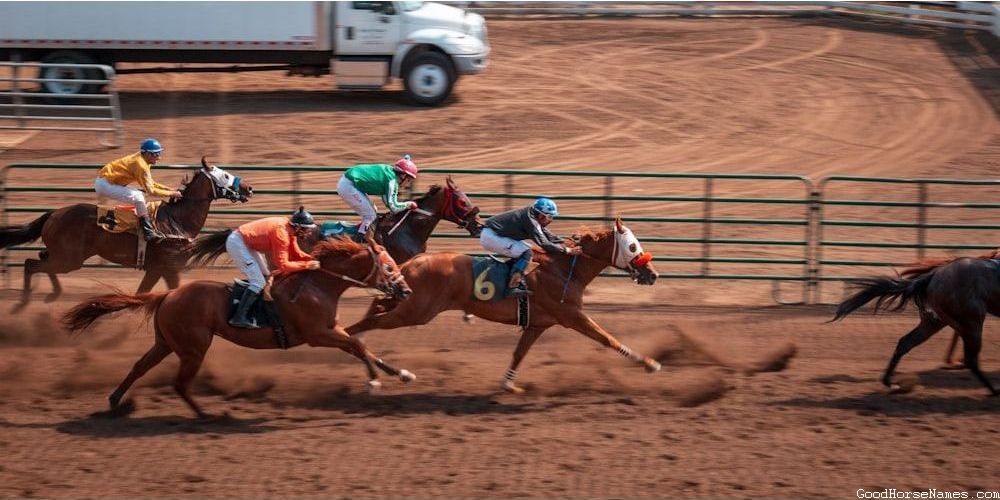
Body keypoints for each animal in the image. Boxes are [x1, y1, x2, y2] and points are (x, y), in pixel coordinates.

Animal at [0, 157, 253, 312]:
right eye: (226, 176)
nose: (249, 188)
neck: (176, 222)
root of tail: (54, 213)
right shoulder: (170, 268)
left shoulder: (155, 269)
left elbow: (141, 293)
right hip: (69, 259)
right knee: (31, 263)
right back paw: (23, 302)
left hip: (64, 256)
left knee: (41, 258)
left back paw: (53, 294)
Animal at [62, 233, 413, 419]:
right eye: (388, 266)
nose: (406, 291)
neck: (318, 285)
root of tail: (168, 294)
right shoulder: (318, 335)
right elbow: (358, 345)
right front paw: (374, 382)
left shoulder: (331, 330)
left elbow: (361, 347)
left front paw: (400, 374)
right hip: (192, 349)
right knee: (179, 383)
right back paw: (206, 415)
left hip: (166, 343)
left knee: (140, 366)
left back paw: (115, 401)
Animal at [345, 218, 661, 394]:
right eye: (632, 246)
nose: (652, 274)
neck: (563, 269)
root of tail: (412, 261)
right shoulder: (572, 316)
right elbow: (607, 338)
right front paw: (649, 363)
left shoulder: (537, 324)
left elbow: (519, 353)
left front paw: (508, 384)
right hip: (417, 311)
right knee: (370, 320)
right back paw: (356, 344)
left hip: (410, 303)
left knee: (376, 305)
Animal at [831, 254, 1000, 395]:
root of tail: (933, 276)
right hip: (971, 322)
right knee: (971, 359)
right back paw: (994, 390)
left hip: (936, 321)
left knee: (906, 342)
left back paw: (889, 383)